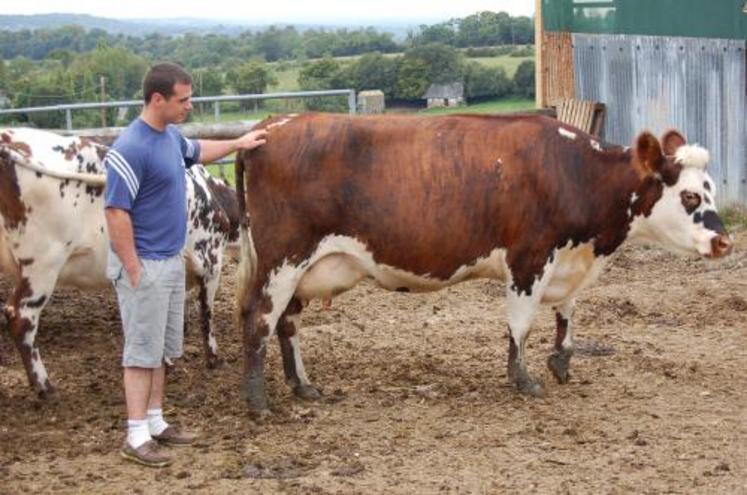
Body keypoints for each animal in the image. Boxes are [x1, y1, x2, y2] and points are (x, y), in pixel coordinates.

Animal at [0, 126, 240, 398]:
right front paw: (213, 358)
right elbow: (206, 314)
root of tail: (8, 137)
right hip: (43, 264)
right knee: (21, 317)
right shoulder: (210, 260)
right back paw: (45, 386)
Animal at [237, 112, 732, 414]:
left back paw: (302, 385)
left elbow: (567, 312)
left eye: (711, 187)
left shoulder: (566, 263)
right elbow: (521, 324)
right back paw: (258, 401)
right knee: (259, 319)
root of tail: (274, 126)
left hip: (302, 268)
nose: (724, 241)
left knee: (287, 323)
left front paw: (561, 359)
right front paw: (523, 379)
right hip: (283, 259)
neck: (574, 173)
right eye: (690, 196)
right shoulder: (529, 259)